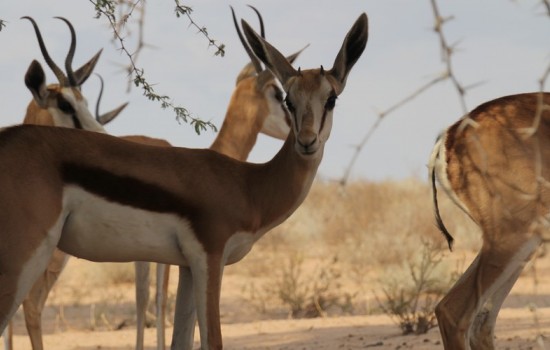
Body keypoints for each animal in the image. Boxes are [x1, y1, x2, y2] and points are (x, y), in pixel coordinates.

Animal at [0, 12, 370, 348]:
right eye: (287, 98)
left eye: (331, 98)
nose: (306, 142)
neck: (247, 185)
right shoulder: (209, 258)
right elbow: (211, 340)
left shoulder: (186, 267)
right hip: (27, 255)